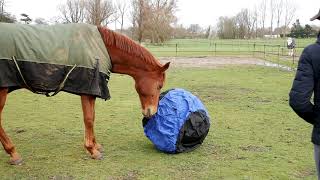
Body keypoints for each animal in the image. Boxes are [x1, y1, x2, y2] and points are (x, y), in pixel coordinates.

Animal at [0, 26, 170, 165]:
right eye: (159, 85)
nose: (151, 112)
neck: (101, 47)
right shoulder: (87, 90)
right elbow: (89, 119)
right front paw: (92, 150)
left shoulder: (91, 92)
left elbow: (92, 117)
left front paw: (96, 145)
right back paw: (13, 153)